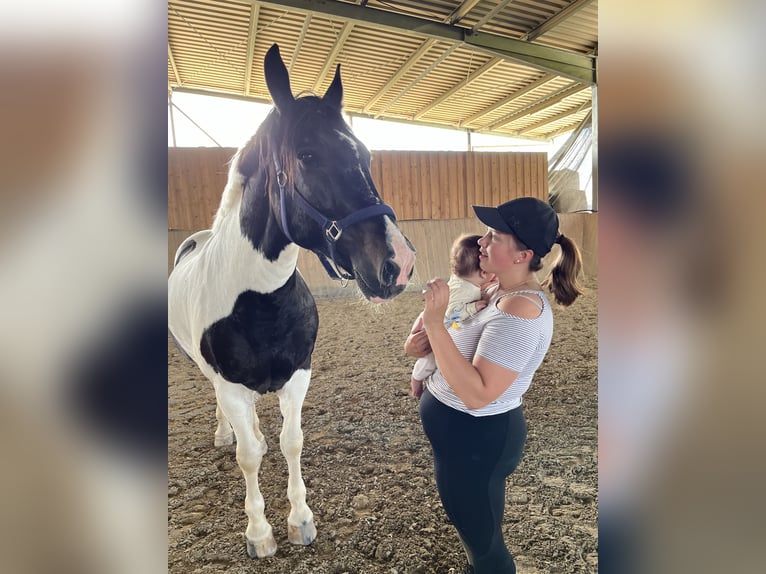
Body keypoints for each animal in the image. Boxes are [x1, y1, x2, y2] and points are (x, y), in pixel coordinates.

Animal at [170, 46, 416, 564]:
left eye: (366, 155)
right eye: (307, 156)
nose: (399, 263)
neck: (257, 301)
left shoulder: (299, 375)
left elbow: (292, 442)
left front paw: (300, 521)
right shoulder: (230, 384)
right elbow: (246, 457)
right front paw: (259, 533)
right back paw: (225, 433)